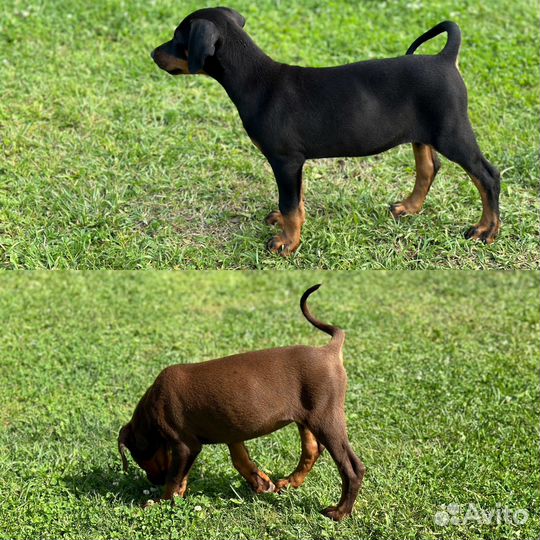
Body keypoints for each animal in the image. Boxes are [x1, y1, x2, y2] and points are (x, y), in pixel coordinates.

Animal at [117, 284, 362, 520]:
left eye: (138, 456)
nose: (153, 481)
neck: (151, 409)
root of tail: (329, 351)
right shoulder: (230, 430)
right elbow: (239, 459)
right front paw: (261, 483)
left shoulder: (184, 444)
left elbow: (176, 476)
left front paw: (161, 501)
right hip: (307, 417)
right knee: (312, 449)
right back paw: (290, 482)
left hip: (326, 418)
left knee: (352, 467)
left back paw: (340, 512)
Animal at [150, 6, 500, 255]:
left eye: (177, 38)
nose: (152, 54)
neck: (255, 80)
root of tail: (445, 58)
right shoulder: (295, 163)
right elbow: (296, 199)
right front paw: (289, 227)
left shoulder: (285, 159)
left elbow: (289, 203)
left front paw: (287, 243)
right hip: (423, 133)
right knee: (429, 167)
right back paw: (410, 207)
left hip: (451, 132)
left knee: (487, 175)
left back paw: (487, 230)